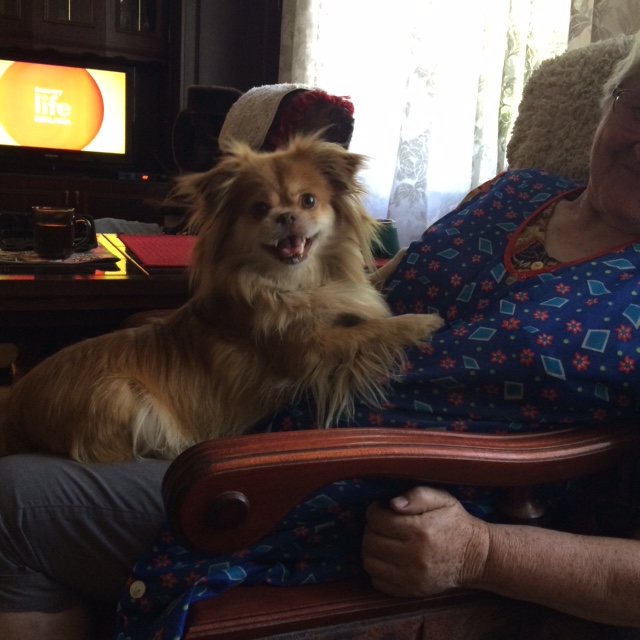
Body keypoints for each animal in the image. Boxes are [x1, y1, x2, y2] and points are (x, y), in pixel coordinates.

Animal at [0, 136, 443, 463]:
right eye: (260, 208)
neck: (295, 285)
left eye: (308, 201)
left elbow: (371, 285)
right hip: (122, 395)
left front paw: (400, 256)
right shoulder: (310, 353)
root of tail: (15, 405)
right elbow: (370, 331)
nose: (285, 216)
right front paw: (424, 321)